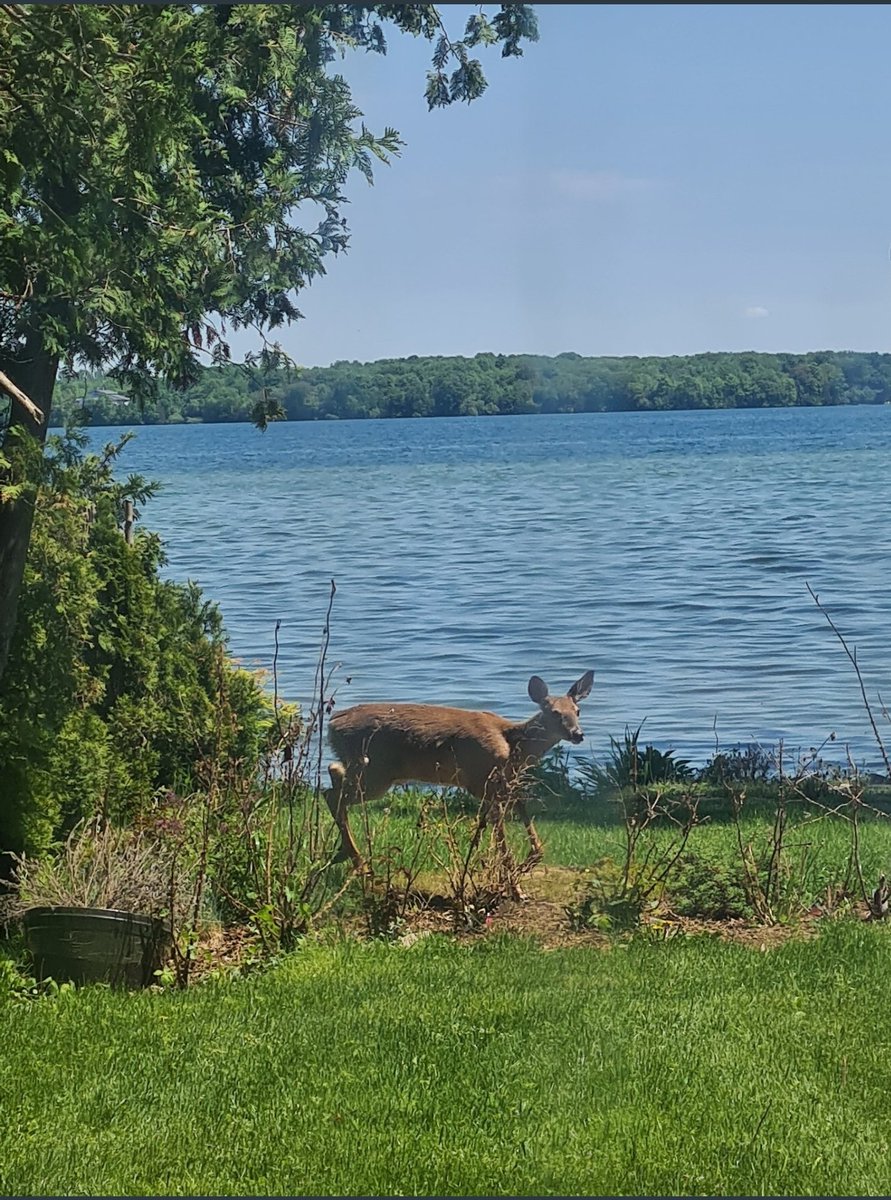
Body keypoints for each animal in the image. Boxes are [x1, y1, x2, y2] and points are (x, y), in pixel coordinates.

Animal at [324, 670, 594, 892]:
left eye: (577, 711)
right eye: (554, 713)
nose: (578, 734)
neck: (513, 747)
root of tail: (331, 724)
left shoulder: (503, 786)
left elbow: (519, 827)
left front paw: (517, 869)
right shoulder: (482, 781)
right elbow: (501, 839)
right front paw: (514, 888)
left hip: (365, 768)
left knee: (333, 774)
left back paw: (343, 854)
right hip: (376, 772)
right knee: (332, 794)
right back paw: (360, 864)